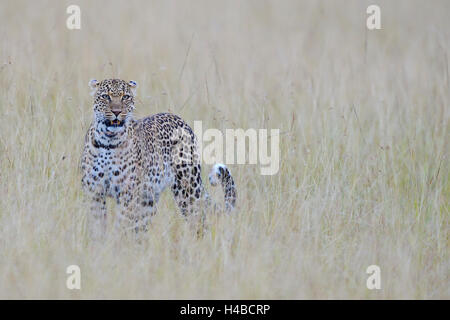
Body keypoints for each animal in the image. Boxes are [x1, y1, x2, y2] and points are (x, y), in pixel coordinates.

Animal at [81, 79, 237, 239]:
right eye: (105, 96)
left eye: (126, 97)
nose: (117, 112)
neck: (108, 142)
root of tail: (180, 119)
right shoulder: (94, 193)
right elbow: (98, 225)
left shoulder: (128, 194)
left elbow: (123, 225)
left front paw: (118, 242)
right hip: (148, 199)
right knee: (141, 226)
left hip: (187, 188)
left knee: (199, 218)